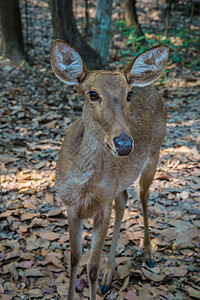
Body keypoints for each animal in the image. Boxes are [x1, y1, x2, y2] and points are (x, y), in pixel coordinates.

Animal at [50, 40, 168, 300]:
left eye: (128, 94)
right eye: (92, 94)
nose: (124, 144)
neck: (84, 187)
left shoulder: (102, 206)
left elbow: (91, 267)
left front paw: (97, 279)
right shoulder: (69, 206)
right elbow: (74, 259)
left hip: (154, 154)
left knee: (143, 198)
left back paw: (148, 255)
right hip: (119, 182)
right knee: (123, 201)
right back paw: (109, 274)